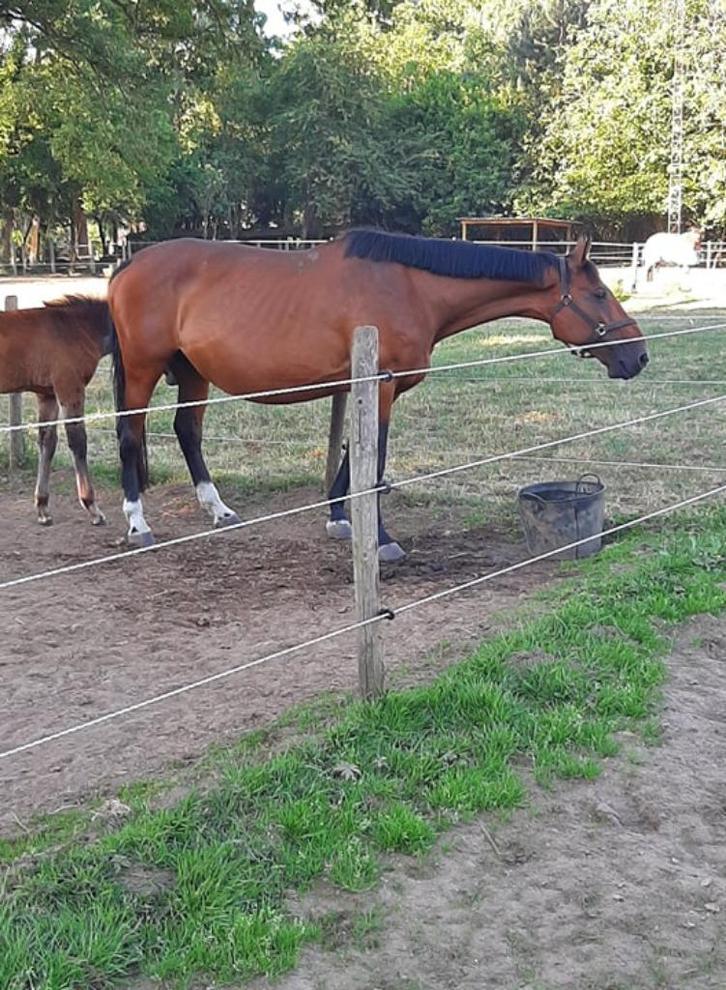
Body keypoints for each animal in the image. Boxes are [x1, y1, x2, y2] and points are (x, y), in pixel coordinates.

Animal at [0, 296, 110, 526]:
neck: (76, 327)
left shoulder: (47, 395)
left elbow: (47, 442)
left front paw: (42, 507)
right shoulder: (70, 389)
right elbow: (78, 442)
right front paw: (92, 507)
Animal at [107, 231, 648, 559]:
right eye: (599, 294)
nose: (638, 357)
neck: (410, 287)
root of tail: (128, 264)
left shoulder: (364, 388)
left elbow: (356, 458)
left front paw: (339, 518)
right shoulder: (381, 386)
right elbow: (376, 461)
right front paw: (382, 539)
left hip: (192, 372)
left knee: (187, 432)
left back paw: (217, 510)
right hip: (141, 369)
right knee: (130, 436)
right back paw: (137, 524)